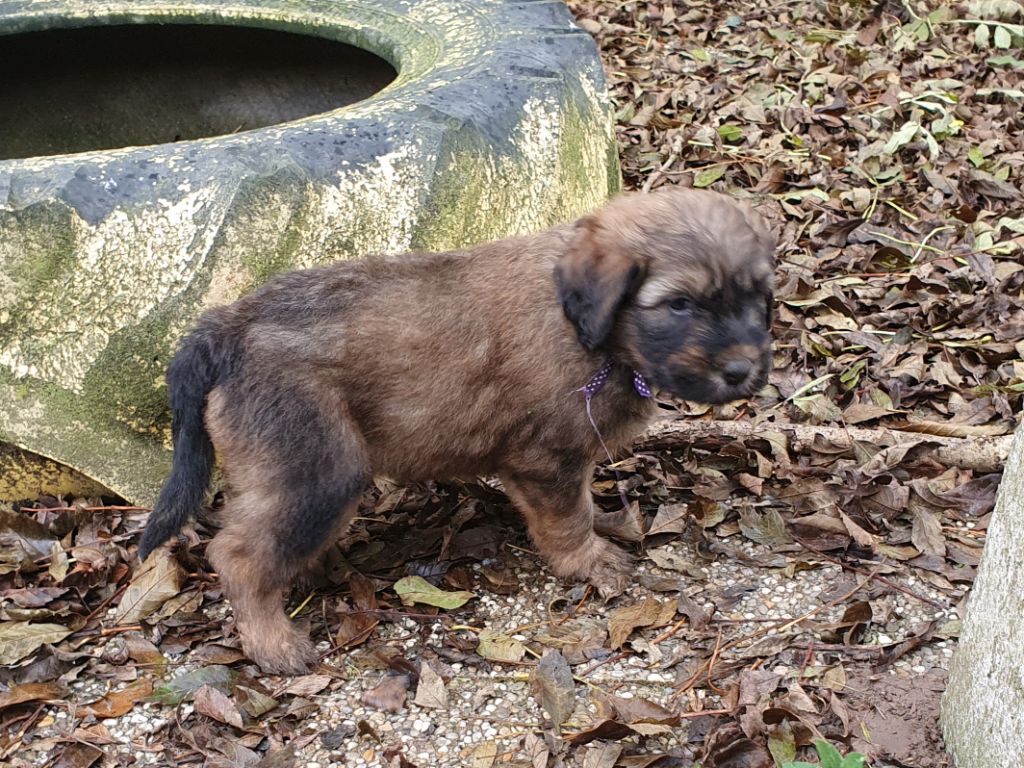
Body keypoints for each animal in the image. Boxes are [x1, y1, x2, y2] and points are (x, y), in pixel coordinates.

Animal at [136, 186, 774, 671]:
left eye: (758, 297)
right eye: (680, 304)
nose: (745, 372)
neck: (588, 329)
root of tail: (228, 324)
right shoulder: (546, 460)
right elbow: (569, 518)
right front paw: (589, 561)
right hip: (318, 469)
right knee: (238, 554)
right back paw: (274, 644)